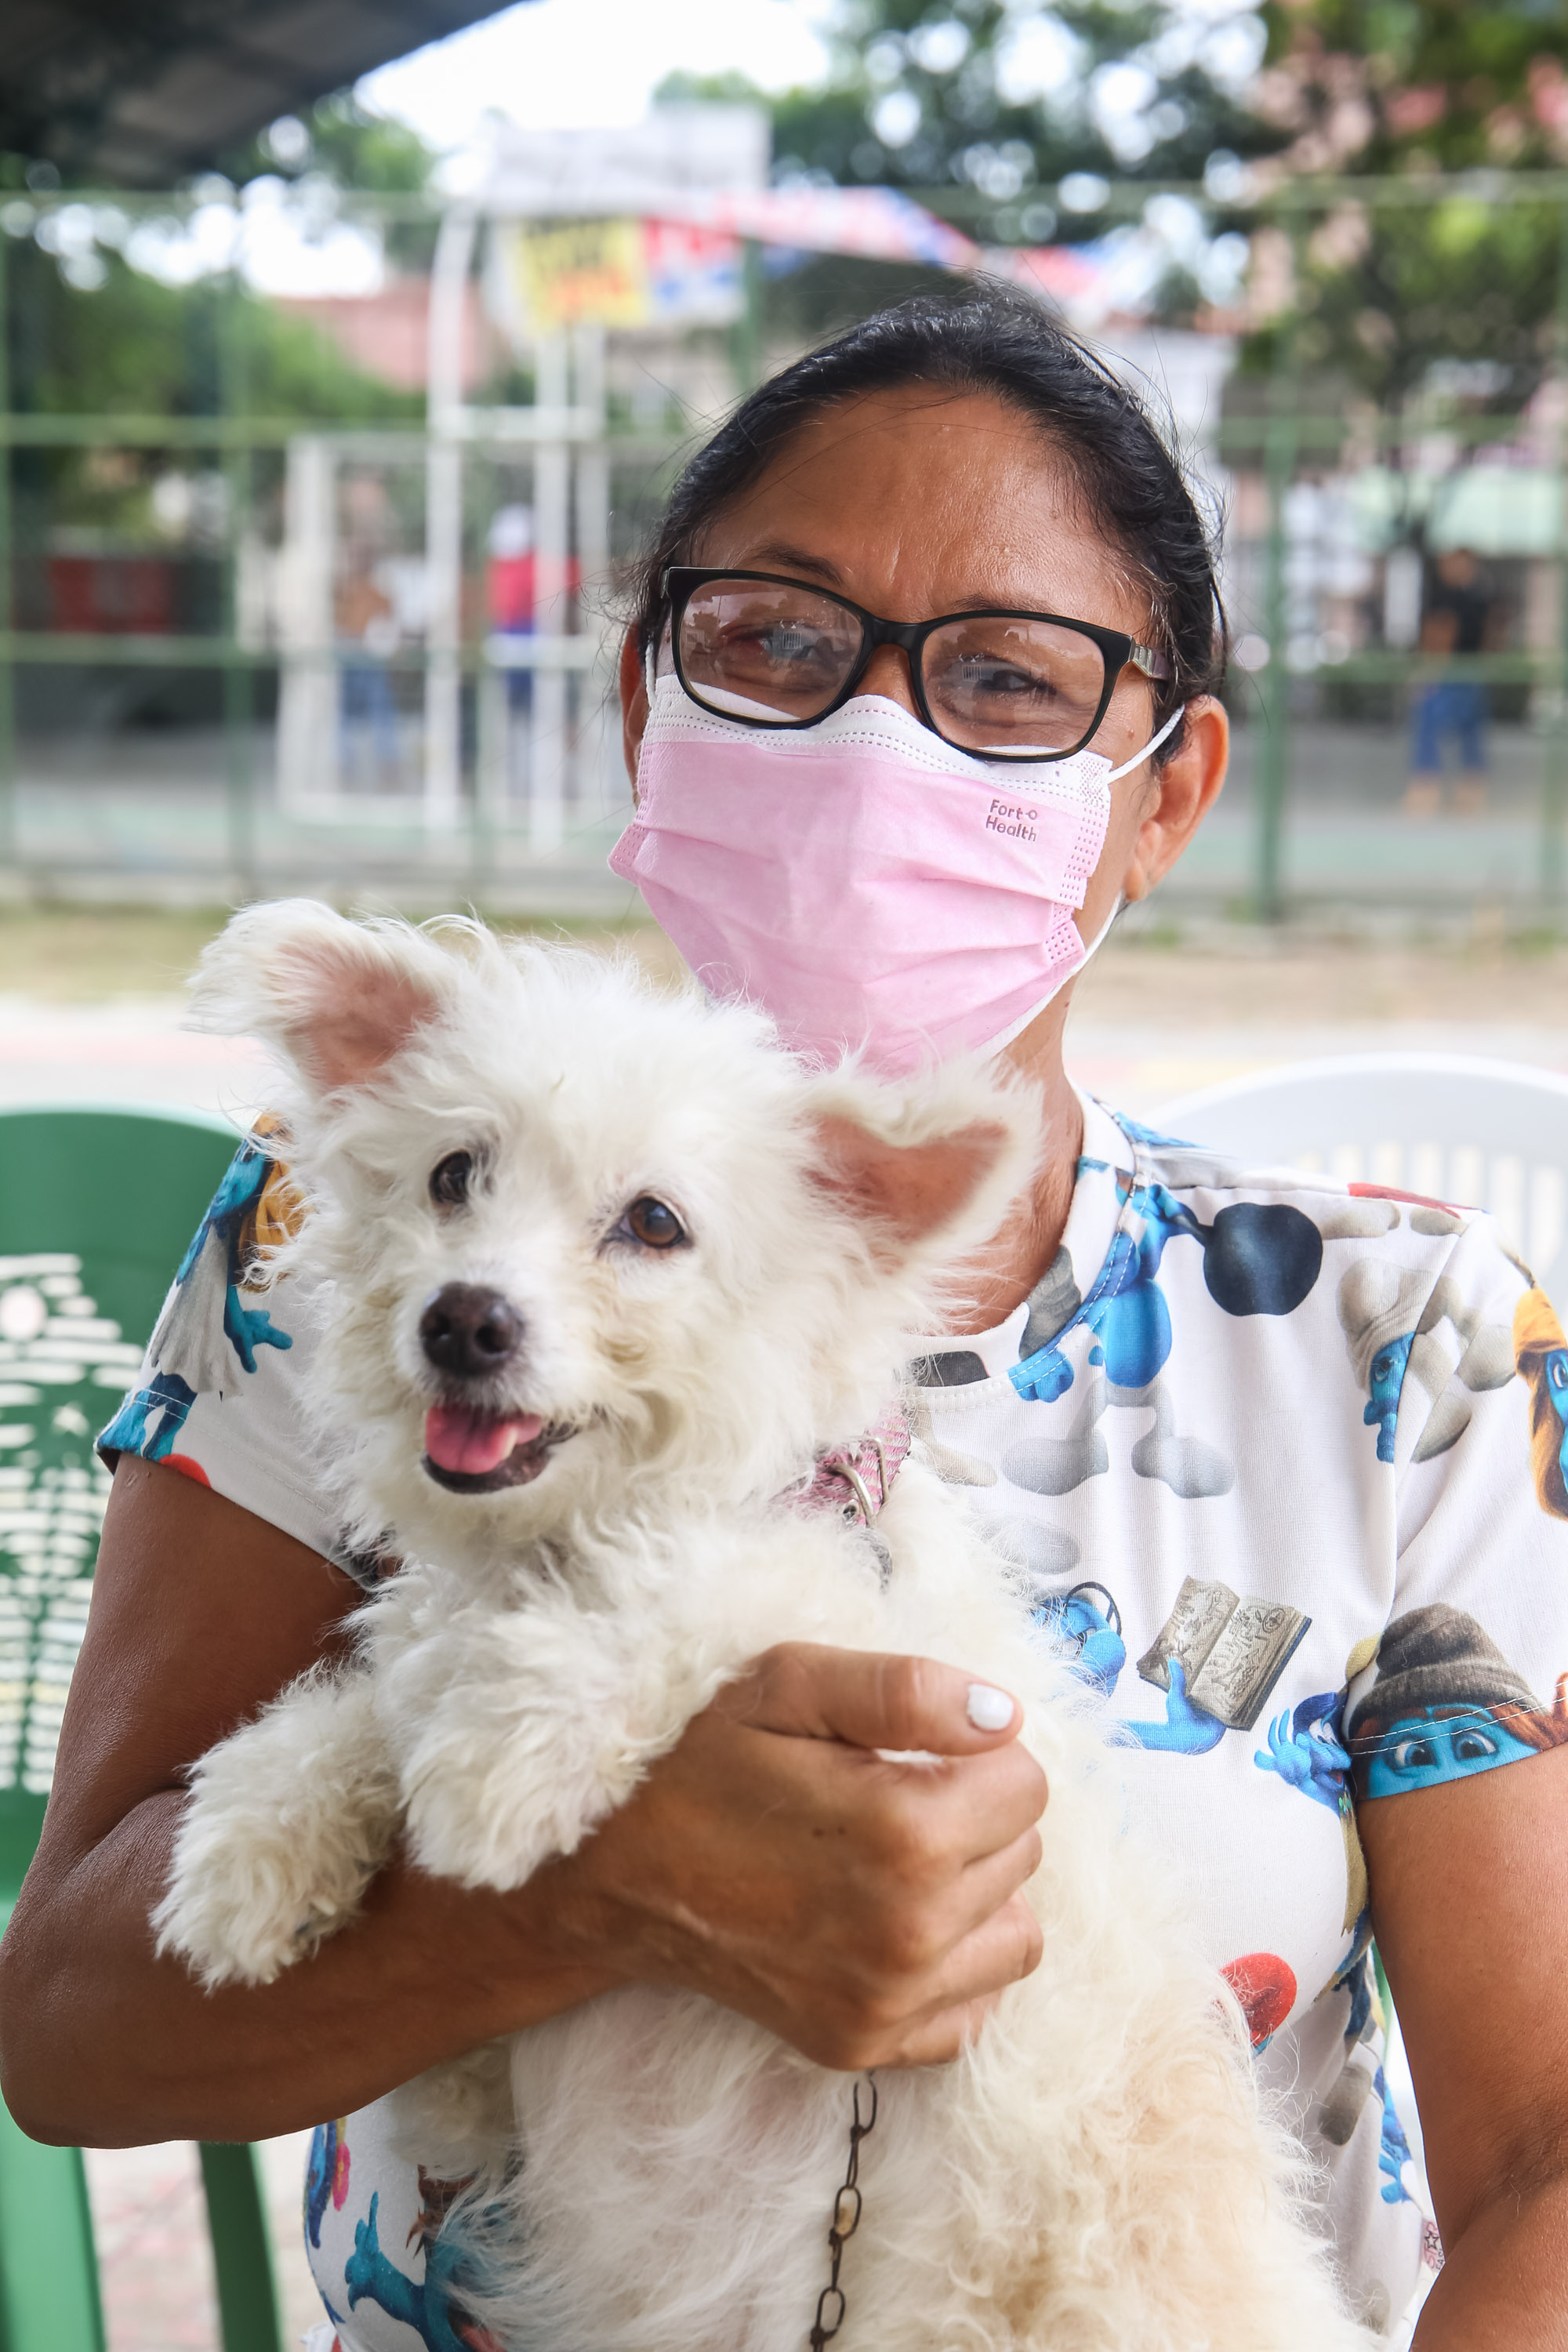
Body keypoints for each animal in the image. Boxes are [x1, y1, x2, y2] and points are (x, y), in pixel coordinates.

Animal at [152, 903, 1363, 2352]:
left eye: (654, 1223)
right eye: (454, 1174)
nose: (463, 1320)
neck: (571, 1528)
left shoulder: (870, 1638)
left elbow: (701, 1584)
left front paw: (511, 1752)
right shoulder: (472, 2055)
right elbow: (378, 1696)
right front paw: (256, 1843)